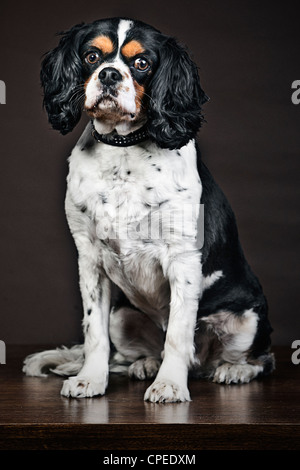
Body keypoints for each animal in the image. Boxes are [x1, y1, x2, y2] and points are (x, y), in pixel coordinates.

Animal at [22, 16, 274, 402]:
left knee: (261, 359)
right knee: (133, 350)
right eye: (92, 56)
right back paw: (145, 364)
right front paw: (90, 379)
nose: (110, 74)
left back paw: (234, 370)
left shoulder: (183, 258)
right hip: (121, 316)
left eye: (142, 63)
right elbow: (93, 331)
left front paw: (170, 385)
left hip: (249, 318)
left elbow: (179, 335)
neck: (123, 149)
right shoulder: (89, 258)